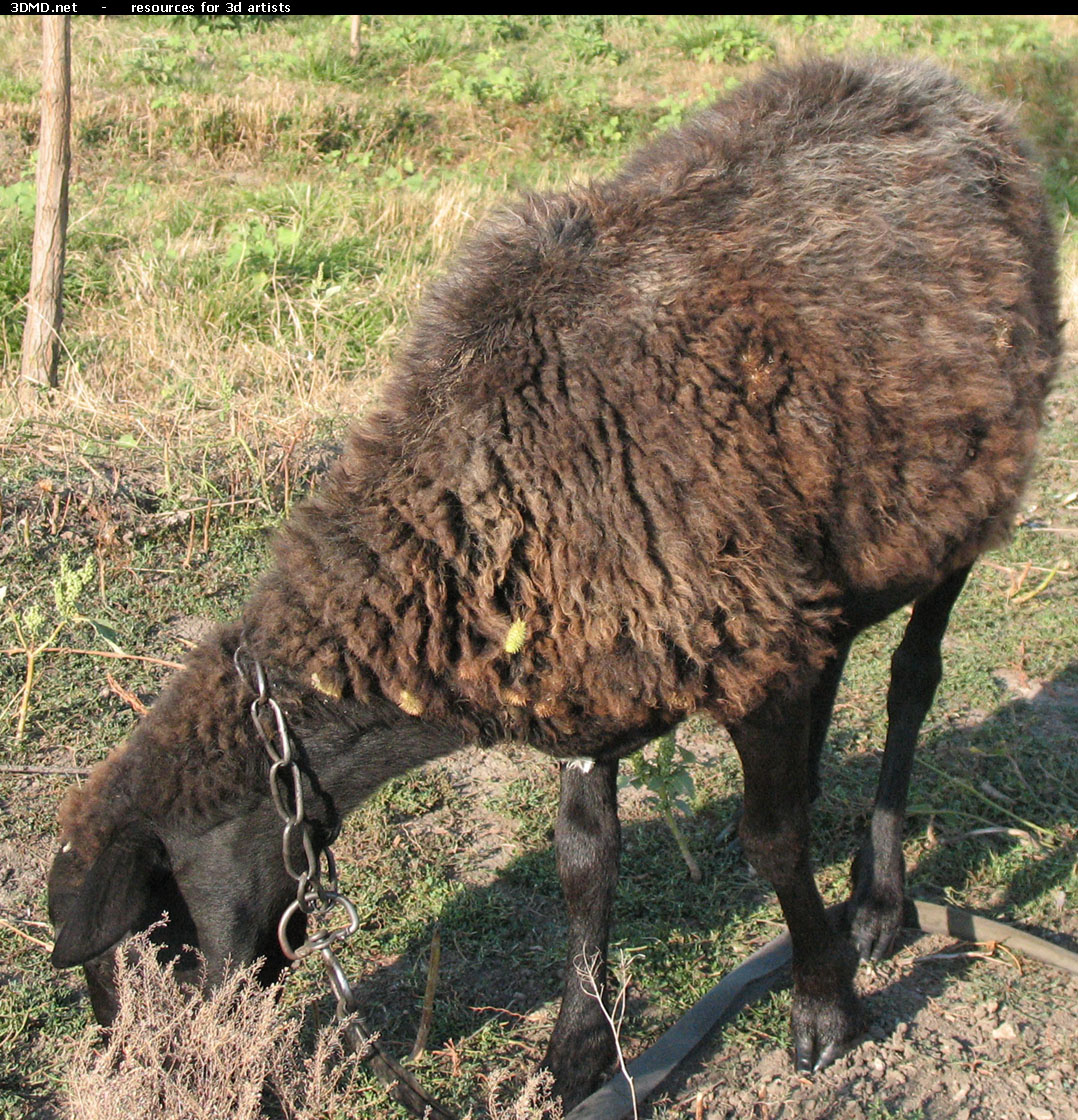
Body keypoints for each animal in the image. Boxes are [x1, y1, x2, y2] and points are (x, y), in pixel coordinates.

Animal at [46, 56, 1053, 1106]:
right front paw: (581, 1054)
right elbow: (584, 861)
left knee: (911, 682)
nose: (143, 1075)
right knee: (838, 657)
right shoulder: (596, 665)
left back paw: (881, 898)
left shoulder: (744, 649)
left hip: (961, 516)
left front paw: (823, 1004)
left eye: (146, 941)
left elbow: (774, 840)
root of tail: (941, 86)